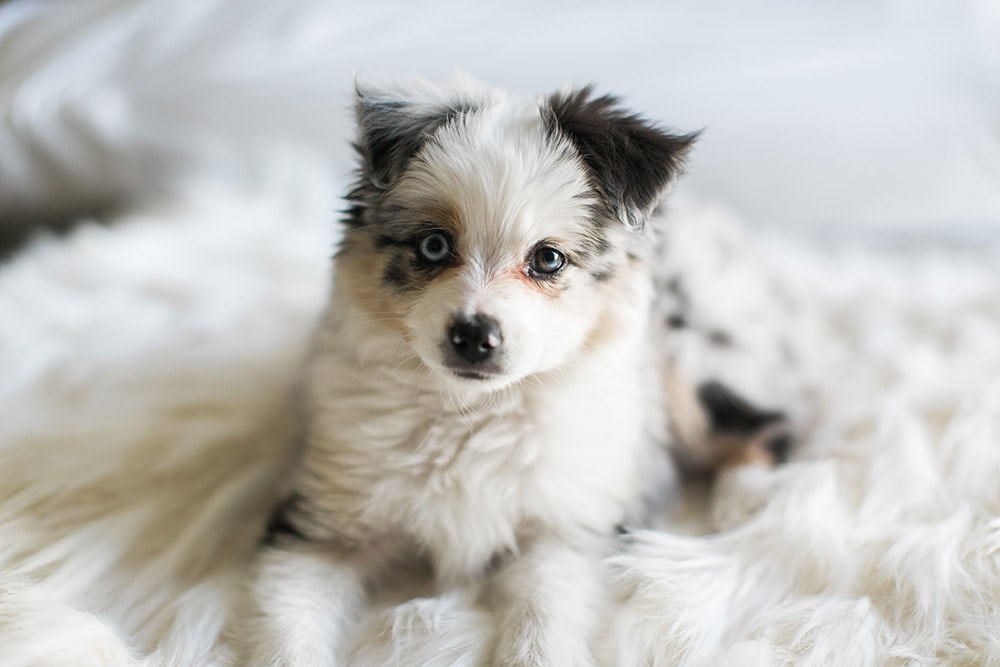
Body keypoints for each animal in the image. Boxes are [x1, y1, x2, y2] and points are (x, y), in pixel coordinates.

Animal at [242, 77, 812, 667]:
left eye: (548, 259)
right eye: (433, 245)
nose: (473, 336)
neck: (471, 410)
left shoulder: (562, 530)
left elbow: (542, 623)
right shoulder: (321, 522)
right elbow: (289, 634)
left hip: (695, 353)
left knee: (770, 418)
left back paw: (741, 499)